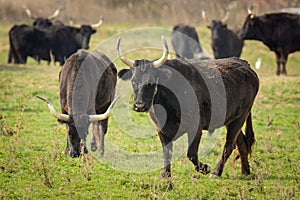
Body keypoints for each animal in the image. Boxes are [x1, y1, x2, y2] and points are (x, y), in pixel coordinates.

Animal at [116, 36, 258, 178]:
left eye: (151, 82)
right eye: (133, 81)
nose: (139, 105)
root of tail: (245, 64)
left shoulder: (196, 128)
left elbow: (191, 153)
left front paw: (205, 168)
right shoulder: (161, 130)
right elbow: (167, 152)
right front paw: (166, 174)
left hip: (240, 117)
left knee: (229, 145)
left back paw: (216, 172)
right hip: (232, 120)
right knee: (241, 144)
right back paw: (245, 171)